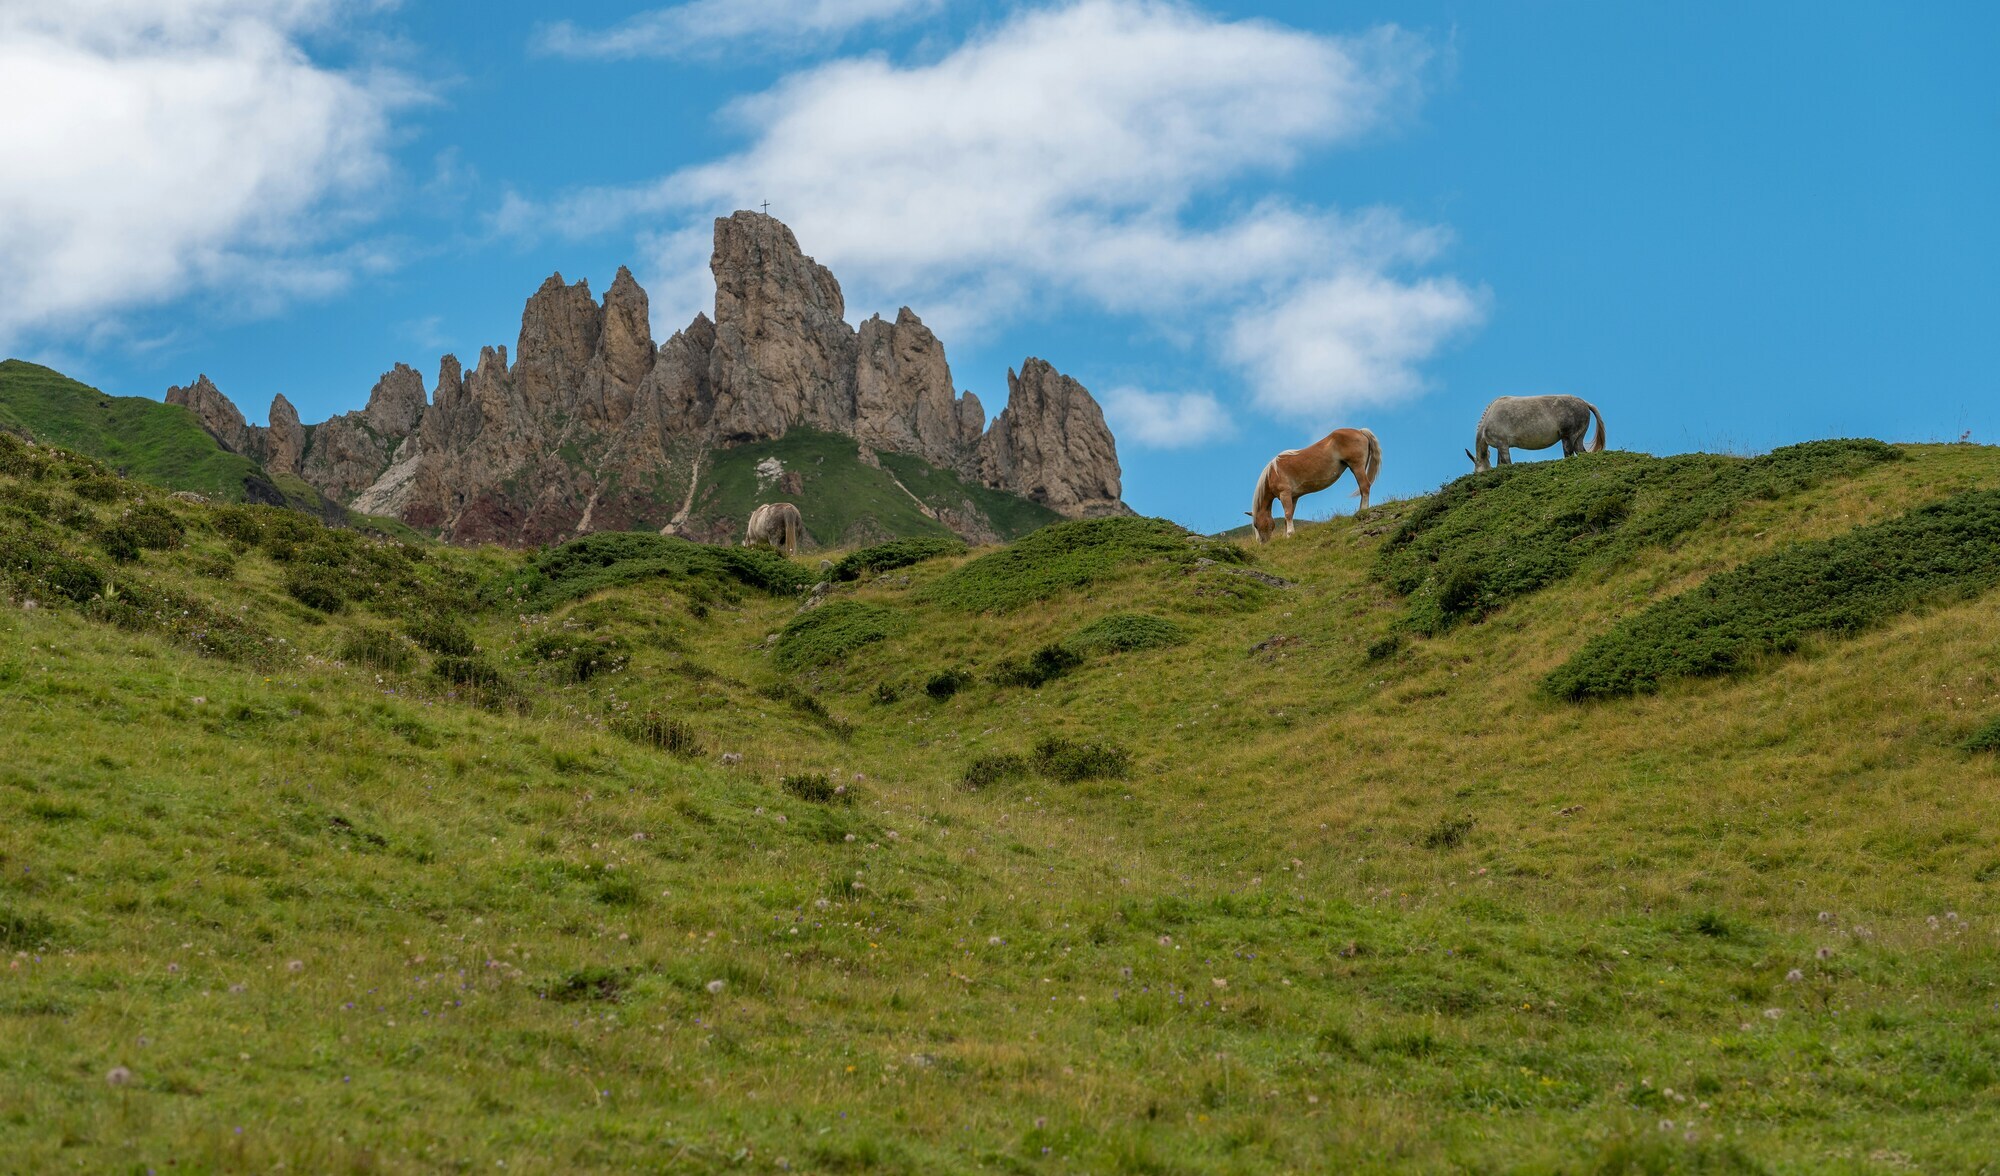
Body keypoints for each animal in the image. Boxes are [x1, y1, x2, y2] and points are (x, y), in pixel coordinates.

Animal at [1248, 430, 1376, 544]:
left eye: (1256, 525)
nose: (1261, 543)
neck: (1272, 473)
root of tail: (1359, 431)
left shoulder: (1285, 494)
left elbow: (1288, 514)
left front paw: (1289, 534)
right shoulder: (1293, 497)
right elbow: (1288, 515)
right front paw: (1286, 536)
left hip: (1357, 466)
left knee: (1365, 487)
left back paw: (1363, 510)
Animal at [1472, 392, 1608, 470]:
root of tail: (1585, 403)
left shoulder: (1502, 445)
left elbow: (1507, 463)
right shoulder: (1501, 446)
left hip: (1569, 437)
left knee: (1569, 453)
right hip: (1576, 438)